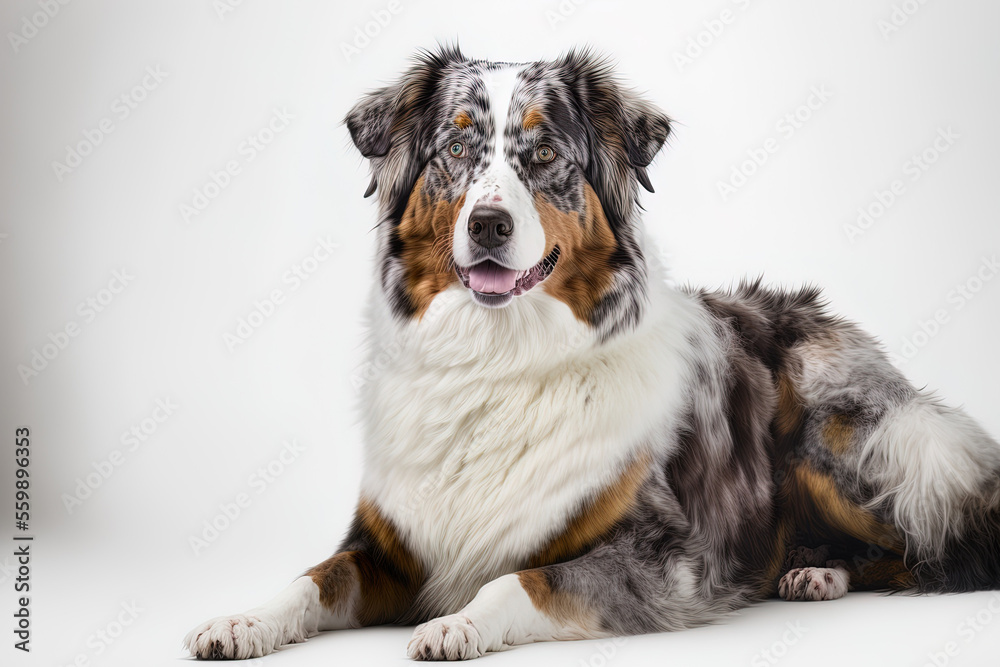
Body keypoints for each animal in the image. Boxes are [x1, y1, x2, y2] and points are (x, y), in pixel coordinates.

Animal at [184, 48, 1000, 664]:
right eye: (456, 149)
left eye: (545, 153)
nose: (487, 224)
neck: (496, 358)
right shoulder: (385, 546)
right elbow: (309, 580)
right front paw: (242, 620)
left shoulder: (664, 559)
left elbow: (520, 580)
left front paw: (457, 623)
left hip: (848, 448)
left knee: (944, 541)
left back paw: (826, 572)